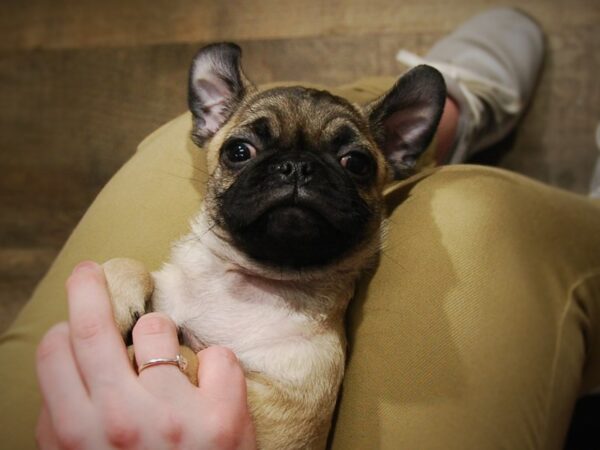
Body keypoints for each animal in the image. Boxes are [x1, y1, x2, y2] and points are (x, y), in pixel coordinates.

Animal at [104, 43, 446, 450]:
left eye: (357, 163)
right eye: (238, 151)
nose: (296, 166)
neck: (248, 278)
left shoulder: (273, 412)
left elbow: (195, 354)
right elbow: (129, 266)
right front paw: (115, 292)